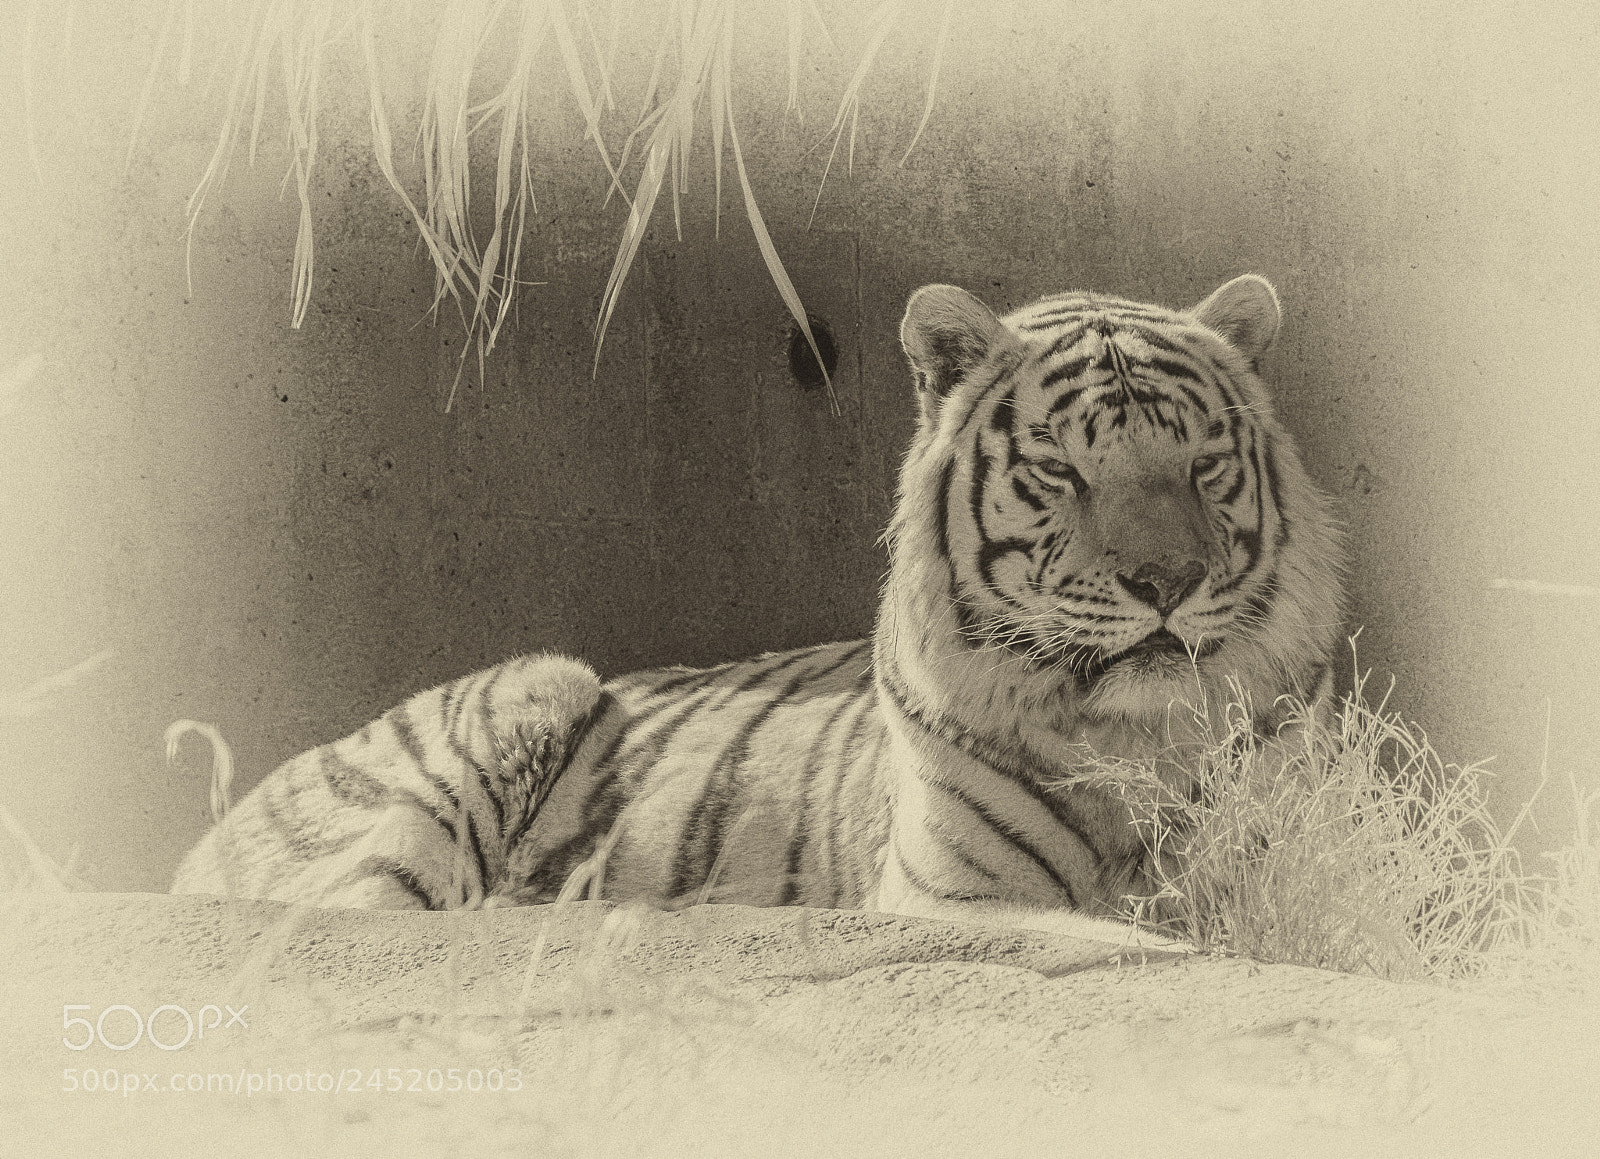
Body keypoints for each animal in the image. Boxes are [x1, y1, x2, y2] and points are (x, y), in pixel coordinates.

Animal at [172, 273, 1344, 946]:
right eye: (1061, 469)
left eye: (1201, 464)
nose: (1166, 583)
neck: (1135, 734)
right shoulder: (957, 902)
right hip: (517, 697)